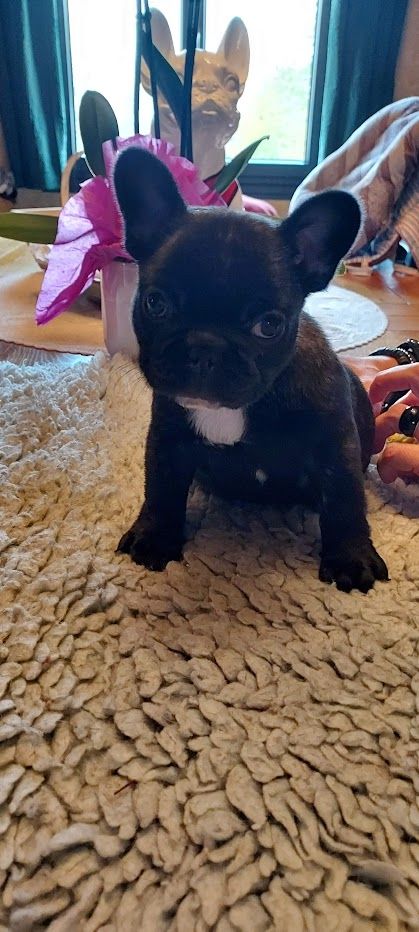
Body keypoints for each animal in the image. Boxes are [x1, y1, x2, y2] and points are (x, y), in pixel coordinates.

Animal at [113, 147, 388, 593]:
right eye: (156, 303)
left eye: (269, 325)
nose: (204, 347)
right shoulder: (168, 439)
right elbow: (161, 488)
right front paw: (154, 536)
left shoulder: (335, 444)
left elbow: (345, 501)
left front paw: (351, 557)